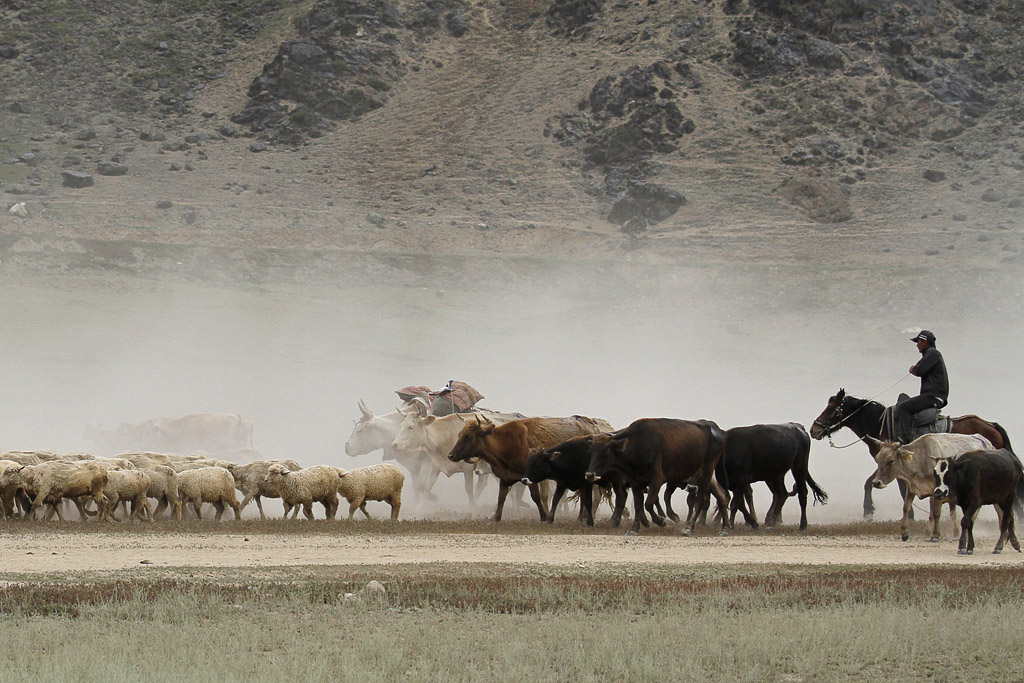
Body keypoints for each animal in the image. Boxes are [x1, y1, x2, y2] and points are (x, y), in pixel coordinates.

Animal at [450, 413, 610, 520]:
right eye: (459, 434)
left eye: (469, 436)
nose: (451, 455)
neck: (507, 443)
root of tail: (592, 426)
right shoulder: (505, 477)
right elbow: (501, 497)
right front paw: (495, 517)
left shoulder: (529, 476)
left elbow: (536, 497)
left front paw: (544, 516)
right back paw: (581, 518)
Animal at [585, 419, 729, 536]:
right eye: (591, 451)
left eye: (605, 451)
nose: (589, 475)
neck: (636, 445)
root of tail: (715, 429)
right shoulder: (636, 482)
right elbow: (638, 505)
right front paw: (634, 529)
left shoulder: (657, 480)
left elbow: (648, 503)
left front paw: (662, 521)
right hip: (709, 477)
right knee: (722, 496)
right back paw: (724, 529)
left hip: (706, 471)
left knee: (700, 499)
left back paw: (688, 528)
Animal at [806, 389, 1015, 518]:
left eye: (832, 408)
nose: (813, 429)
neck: (881, 426)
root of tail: (991, 425)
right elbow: (870, 483)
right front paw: (868, 512)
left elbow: (901, 487)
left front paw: (909, 515)